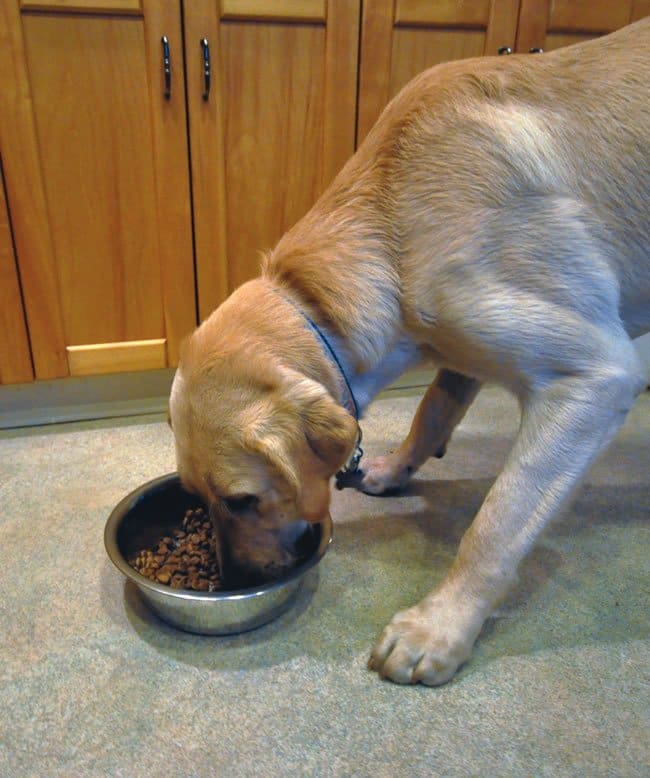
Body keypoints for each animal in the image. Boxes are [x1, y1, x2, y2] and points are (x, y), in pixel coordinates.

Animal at [168, 18, 648, 684]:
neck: (393, 235)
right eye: (196, 500)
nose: (233, 580)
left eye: (241, 500)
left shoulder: (595, 376)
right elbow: (431, 414)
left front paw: (438, 627)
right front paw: (395, 469)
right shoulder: (460, 351)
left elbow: (496, 524)